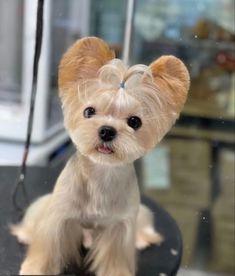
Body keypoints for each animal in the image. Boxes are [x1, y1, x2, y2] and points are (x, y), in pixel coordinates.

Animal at [11, 37, 190, 276]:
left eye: (135, 121)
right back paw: (25, 233)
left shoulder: (120, 227)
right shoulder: (58, 217)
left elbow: (115, 259)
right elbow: (47, 248)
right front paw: (34, 269)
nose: (107, 130)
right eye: (89, 111)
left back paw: (143, 238)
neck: (101, 173)